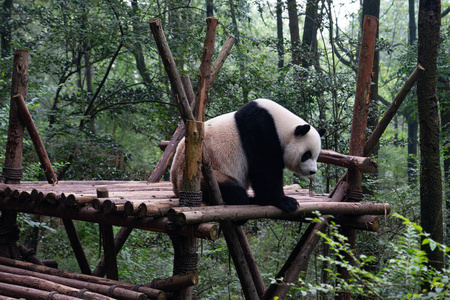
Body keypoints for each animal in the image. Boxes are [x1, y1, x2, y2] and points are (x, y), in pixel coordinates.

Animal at [171, 98, 326, 211]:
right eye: (306, 155)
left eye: (316, 155)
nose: (312, 171)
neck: (281, 125)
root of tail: (176, 187)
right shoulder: (261, 130)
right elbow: (264, 170)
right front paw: (286, 201)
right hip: (205, 176)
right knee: (231, 189)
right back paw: (251, 200)